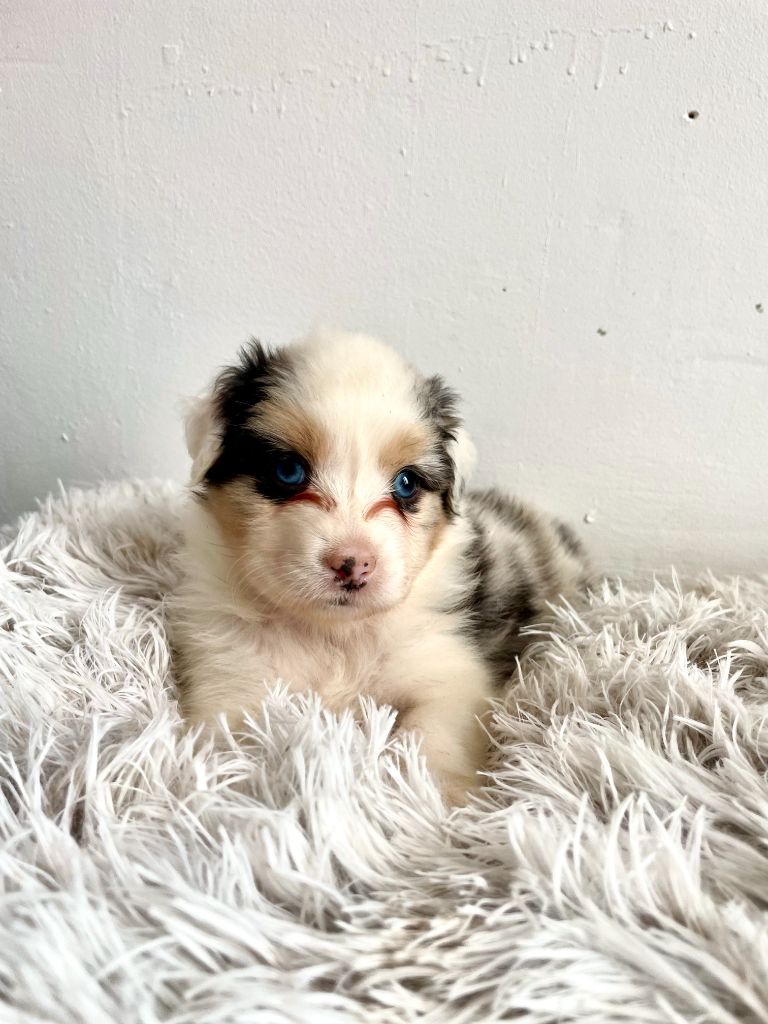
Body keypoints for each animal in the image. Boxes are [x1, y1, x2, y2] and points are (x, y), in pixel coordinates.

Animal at [171, 329, 589, 804]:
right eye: (288, 470)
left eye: (406, 483)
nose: (353, 564)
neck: (333, 636)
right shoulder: (229, 678)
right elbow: (230, 746)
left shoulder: (448, 672)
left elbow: (432, 737)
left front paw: (432, 799)